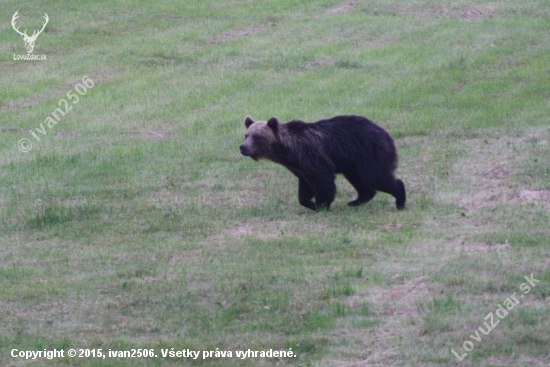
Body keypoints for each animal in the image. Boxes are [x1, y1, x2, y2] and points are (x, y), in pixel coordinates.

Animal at [239, 116, 408, 211]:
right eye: (246, 135)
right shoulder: (300, 167)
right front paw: (310, 203)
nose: (243, 147)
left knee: (375, 177)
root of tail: (386, 134)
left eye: (257, 136)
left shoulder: (313, 158)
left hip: (367, 153)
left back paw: (400, 201)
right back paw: (355, 201)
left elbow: (323, 183)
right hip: (352, 164)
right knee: (361, 181)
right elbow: (304, 190)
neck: (287, 151)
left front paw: (321, 205)